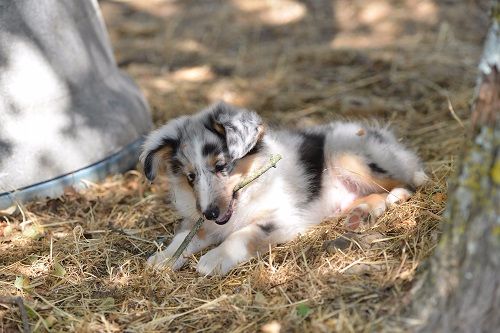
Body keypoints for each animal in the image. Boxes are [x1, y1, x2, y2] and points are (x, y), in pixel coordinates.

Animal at [141, 101, 426, 274]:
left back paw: (393, 197)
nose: (209, 213)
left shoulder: (285, 218)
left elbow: (243, 234)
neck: (247, 196)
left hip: (347, 155)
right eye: (190, 177)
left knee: (408, 181)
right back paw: (359, 214)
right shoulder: (204, 223)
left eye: (222, 166)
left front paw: (214, 259)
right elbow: (184, 238)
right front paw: (164, 258)